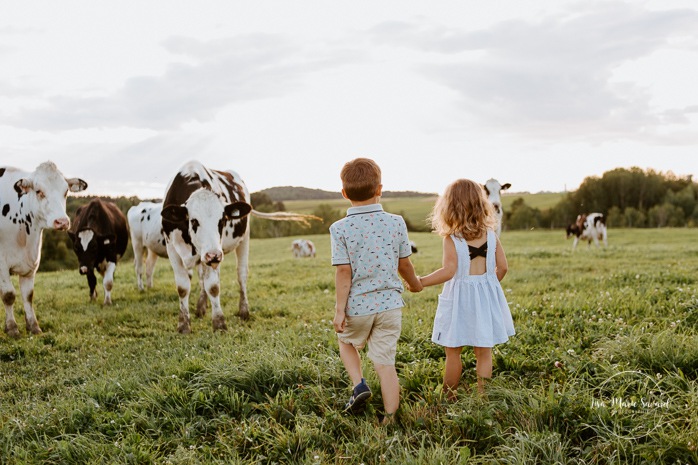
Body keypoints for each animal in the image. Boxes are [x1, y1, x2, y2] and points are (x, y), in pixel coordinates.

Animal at [0, 161, 87, 336]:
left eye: (66, 191)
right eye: (39, 191)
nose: (62, 221)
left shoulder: (31, 264)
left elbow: (28, 295)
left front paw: (33, 326)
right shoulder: (1, 263)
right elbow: (8, 295)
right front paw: (12, 328)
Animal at [159, 161, 316, 332]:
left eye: (222, 220)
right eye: (193, 221)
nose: (214, 255)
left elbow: (213, 286)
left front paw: (219, 323)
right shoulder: (172, 248)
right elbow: (183, 287)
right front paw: (183, 326)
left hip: (243, 239)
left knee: (241, 275)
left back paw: (243, 311)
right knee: (202, 278)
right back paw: (201, 307)